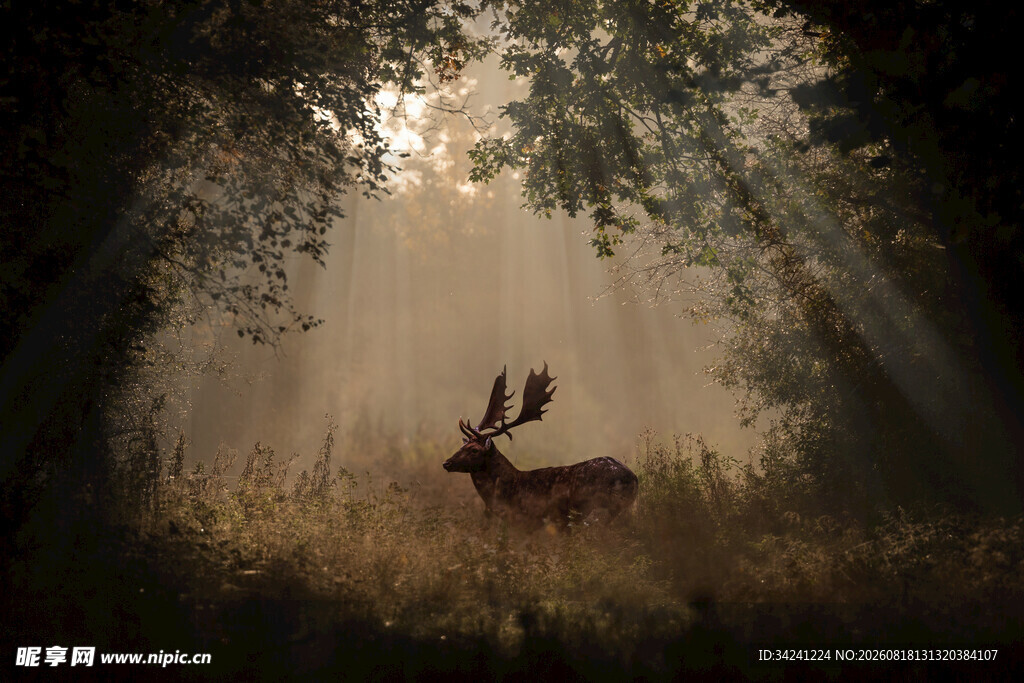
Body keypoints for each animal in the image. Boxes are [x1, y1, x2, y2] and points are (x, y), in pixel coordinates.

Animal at [443, 363, 638, 530]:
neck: (510, 490)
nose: (446, 463)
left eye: (474, 450)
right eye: (463, 446)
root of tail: (634, 479)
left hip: (601, 508)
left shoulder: (531, 521)